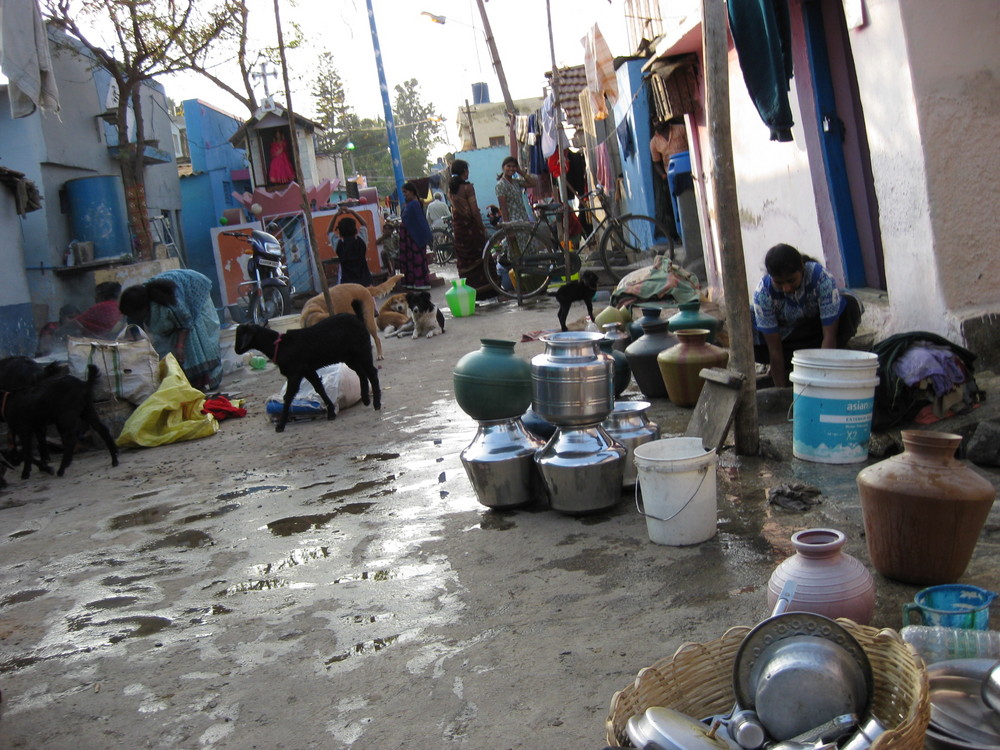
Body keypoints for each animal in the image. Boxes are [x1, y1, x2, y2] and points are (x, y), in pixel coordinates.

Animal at [234, 306, 382, 434]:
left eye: (241, 335)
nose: (236, 350)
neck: (279, 346)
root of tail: (358, 318)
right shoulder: (308, 370)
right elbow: (319, 388)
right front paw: (331, 412)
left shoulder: (295, 373)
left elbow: (288, 396)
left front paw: (281, 425)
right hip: (350, 357)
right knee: (361, 373)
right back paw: (365, 399)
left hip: (362, 351)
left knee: (372, 373)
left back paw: (376, 403)